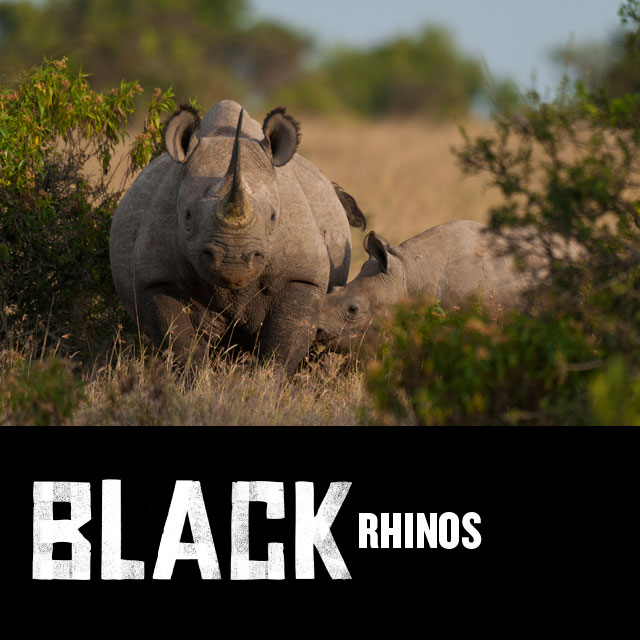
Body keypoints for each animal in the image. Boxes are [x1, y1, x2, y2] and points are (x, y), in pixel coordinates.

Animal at [109, 100, 365, 373]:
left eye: (274, 217)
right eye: (187, 217)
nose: (233, 260)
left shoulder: (302, 275)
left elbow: (286, 341)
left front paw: (267, 379)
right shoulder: (156, 278)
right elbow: (179, 341)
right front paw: (194, 379)